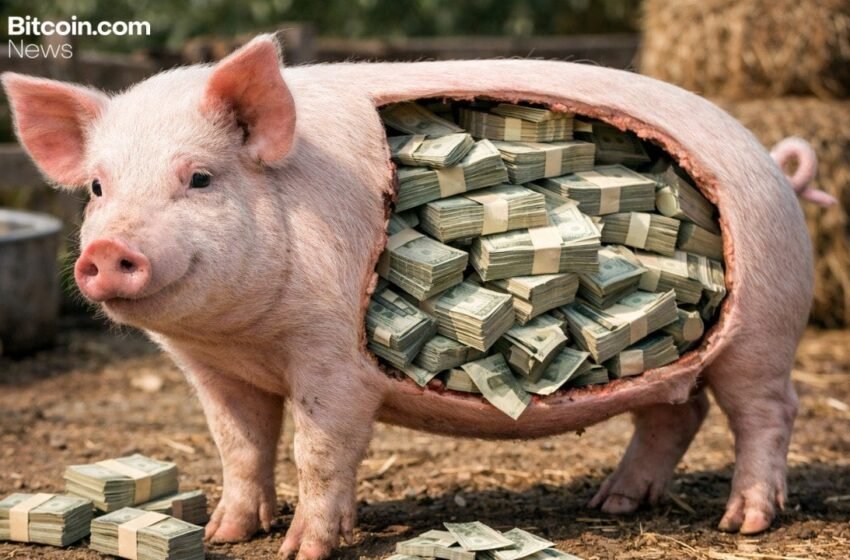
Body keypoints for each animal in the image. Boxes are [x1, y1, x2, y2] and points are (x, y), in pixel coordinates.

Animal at [2, 34, 832, 559]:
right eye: (98, 187)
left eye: (200, 177)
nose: (106, 251)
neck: (248, 341)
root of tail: (772, 161)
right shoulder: (212, 370)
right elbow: (240, 448)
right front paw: (223, 536)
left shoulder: (333, 358)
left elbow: (317, 449)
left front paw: (302, 551)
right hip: (698, 359)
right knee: (674, 412)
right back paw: (615, 505)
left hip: (764, 328)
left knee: (766, 412)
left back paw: (742, 525)